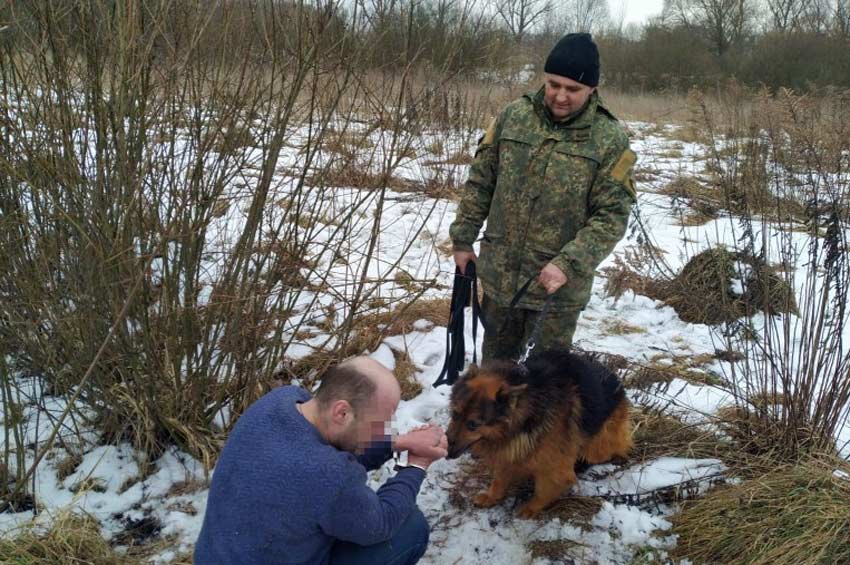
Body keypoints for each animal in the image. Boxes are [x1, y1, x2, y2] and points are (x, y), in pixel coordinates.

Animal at [444, 350, 628, 516]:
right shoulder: (509, 448)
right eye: (454, 414)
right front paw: (492, 495)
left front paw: (531, 508)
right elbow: (500, 477)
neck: (527, 413)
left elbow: (544, 489)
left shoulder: (553, 465)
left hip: (600, 442)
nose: (446, 450)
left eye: (473, 424)